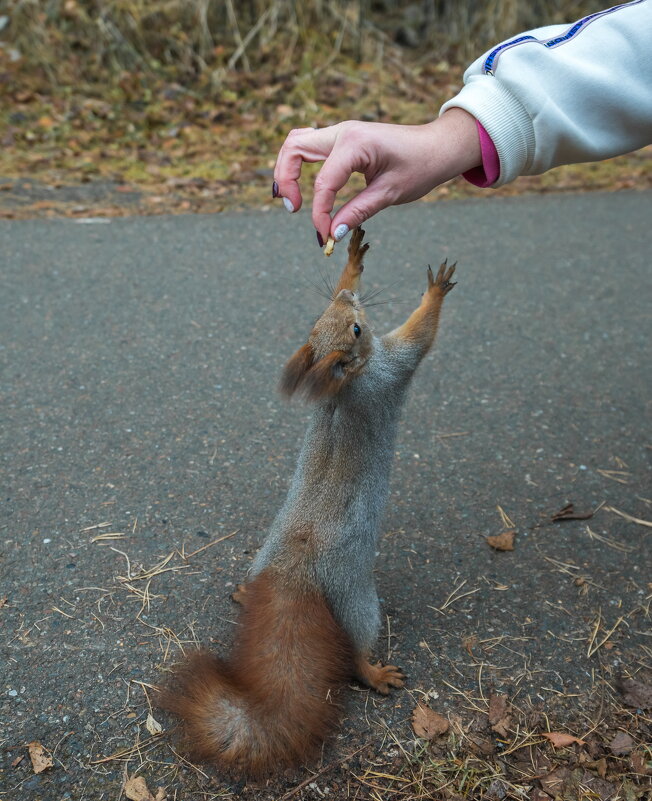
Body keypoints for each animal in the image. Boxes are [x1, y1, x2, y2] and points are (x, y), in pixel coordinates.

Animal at [162, 228, 458, 780]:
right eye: (356, 329)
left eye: (327, 318)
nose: (346, 297)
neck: (348, 384)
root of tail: (294, 571)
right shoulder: (392, 365)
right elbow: (420, 335)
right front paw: (434, 290)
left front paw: (351, 259)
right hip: (356, 599)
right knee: (356, 647)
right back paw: (374, 672)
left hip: (267, 556)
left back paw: (245, 594)